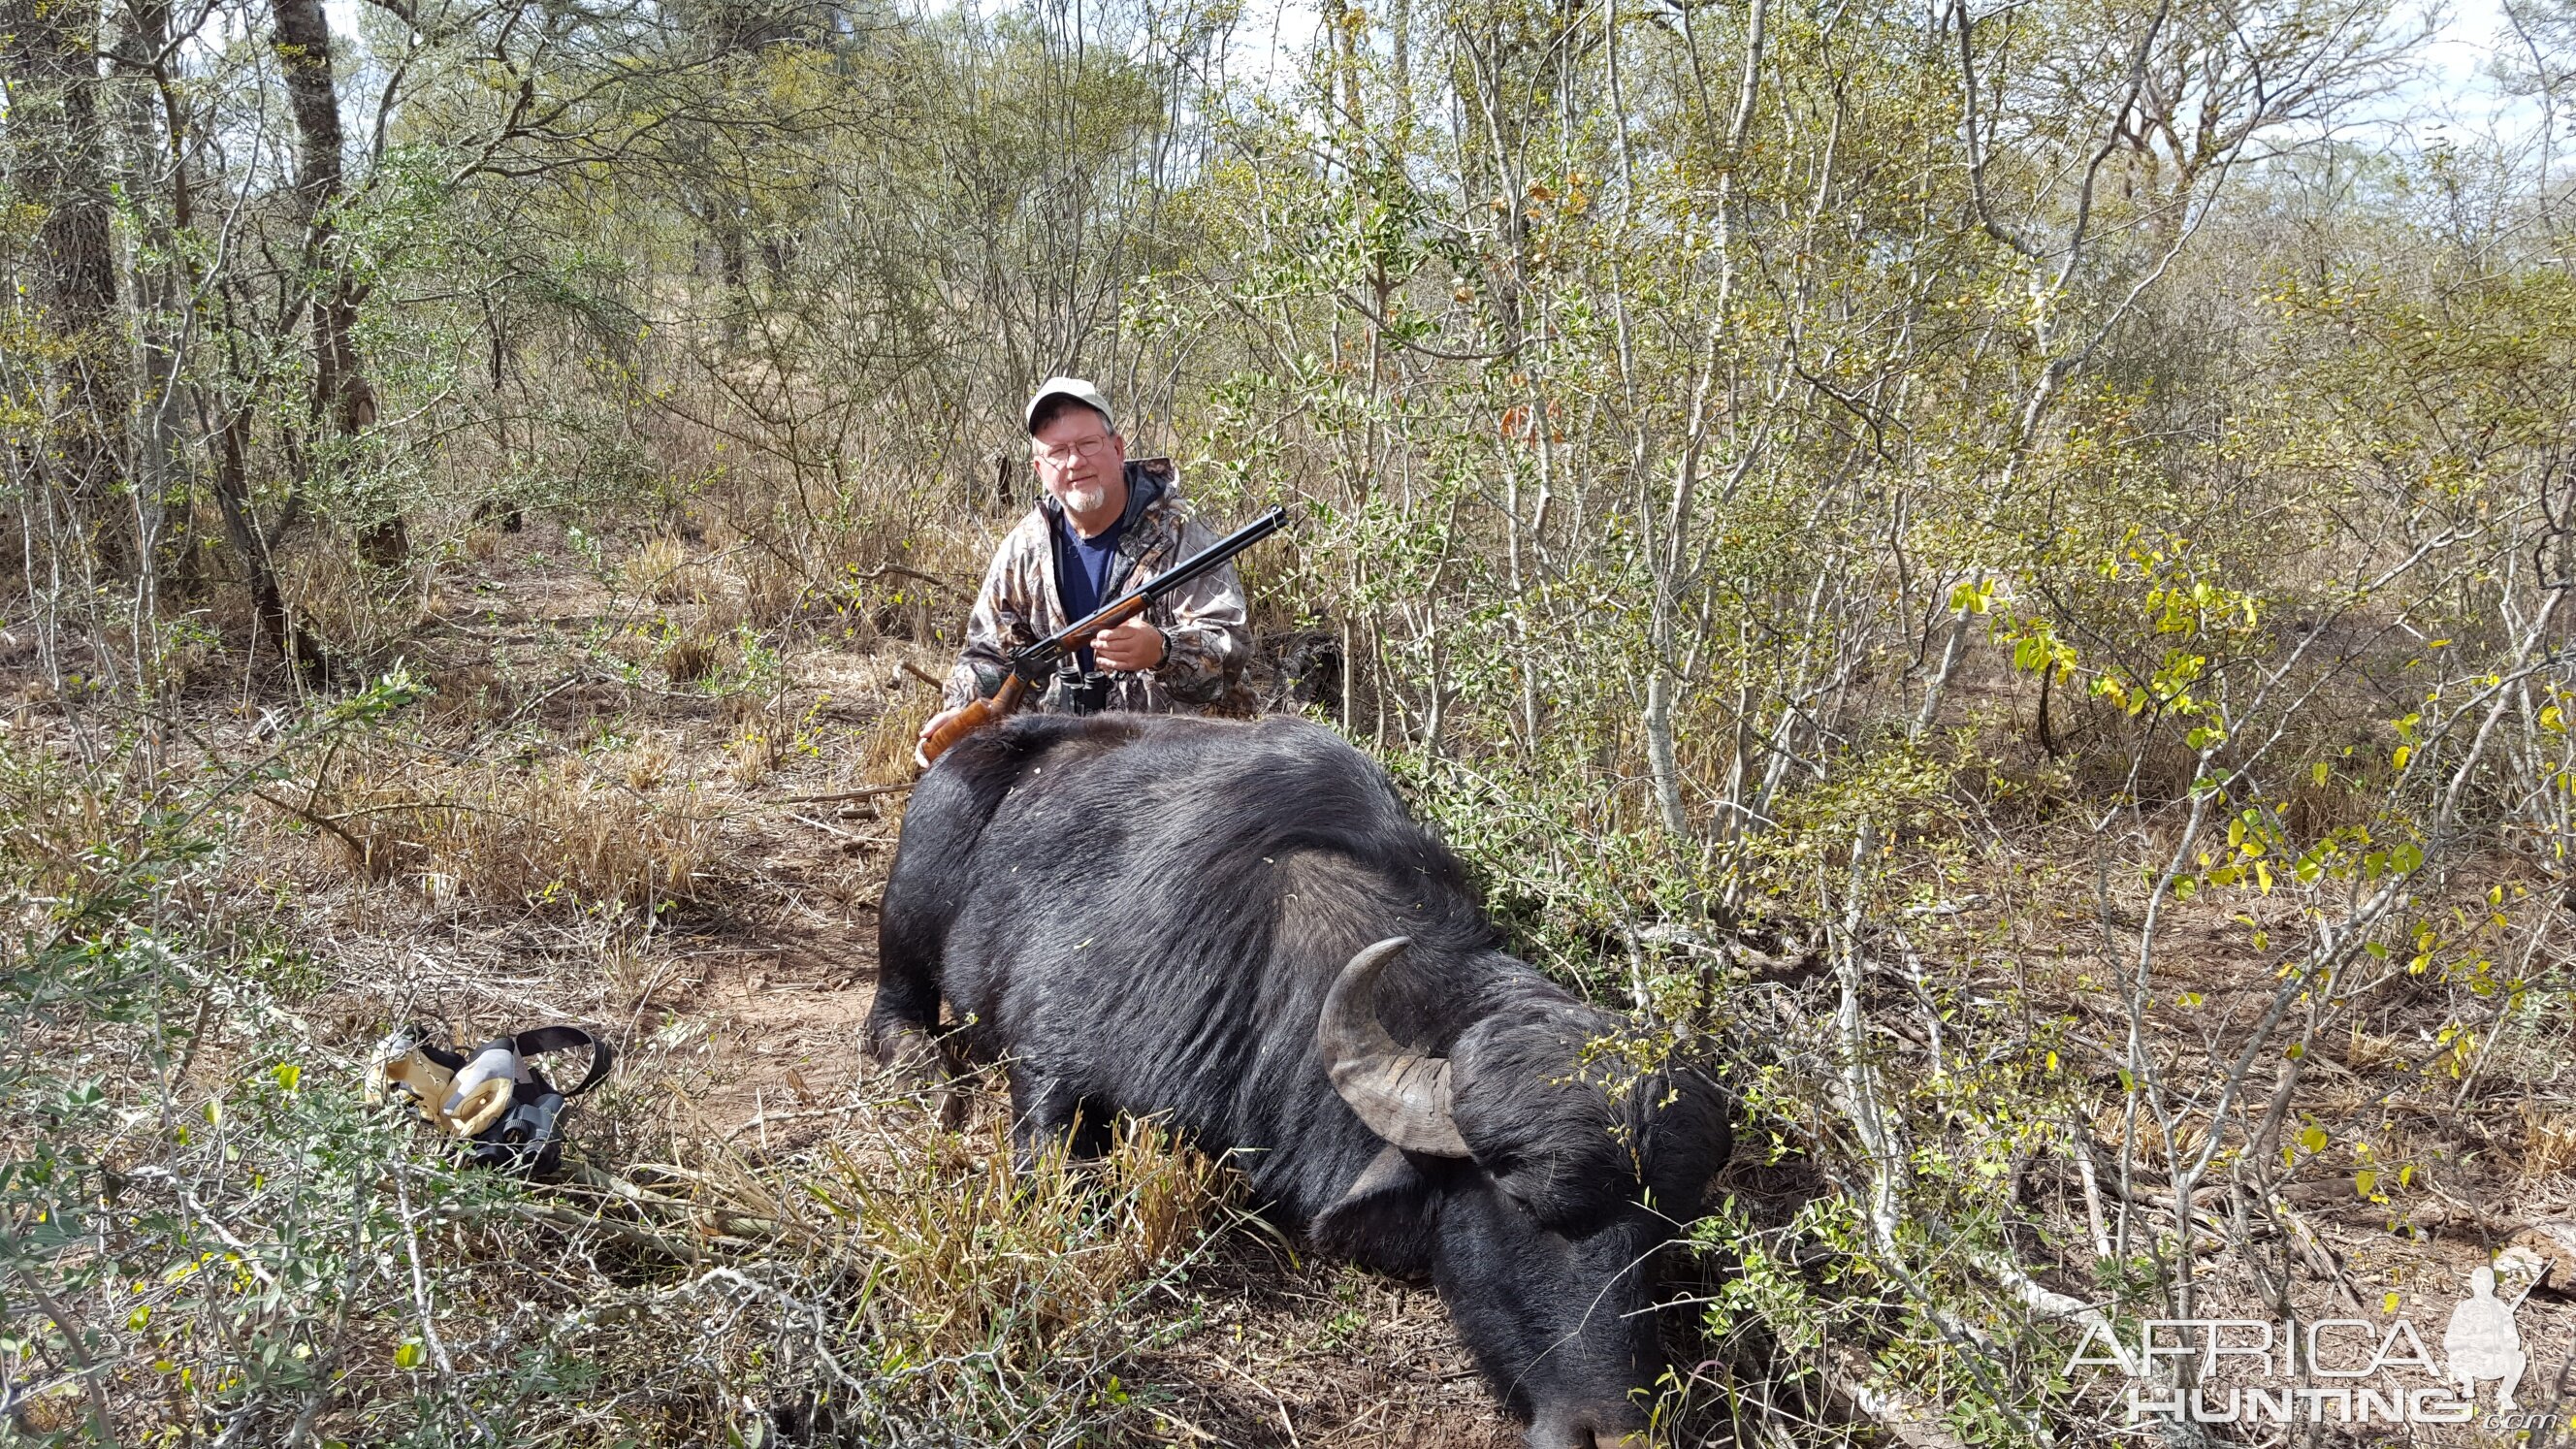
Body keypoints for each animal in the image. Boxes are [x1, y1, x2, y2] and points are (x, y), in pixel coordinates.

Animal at [865, 711, 1730, 1443]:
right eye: (1522, 1202)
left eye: (1664, 1237)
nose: (1615, 1432)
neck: (1272, 949)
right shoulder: (1052, 1059)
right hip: (916, 886)